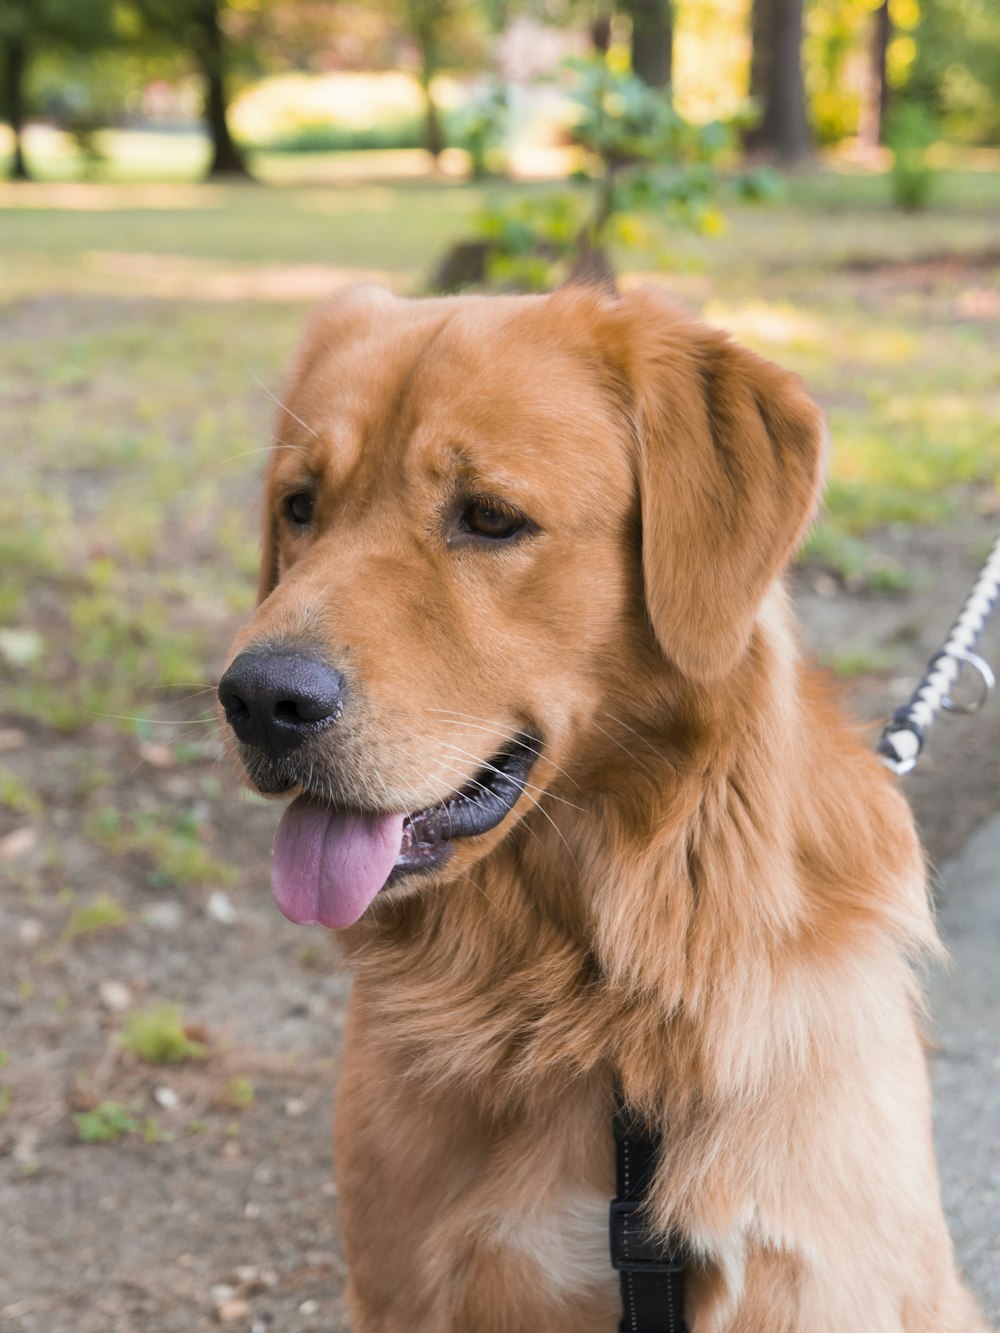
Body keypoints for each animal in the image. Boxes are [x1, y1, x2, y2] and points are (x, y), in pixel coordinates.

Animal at [217, 286, 986, 1327]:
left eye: (490, 517)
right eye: (300, 507)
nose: (257, 700)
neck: (600, 995)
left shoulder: (816, 1274)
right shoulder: (405, 1282)